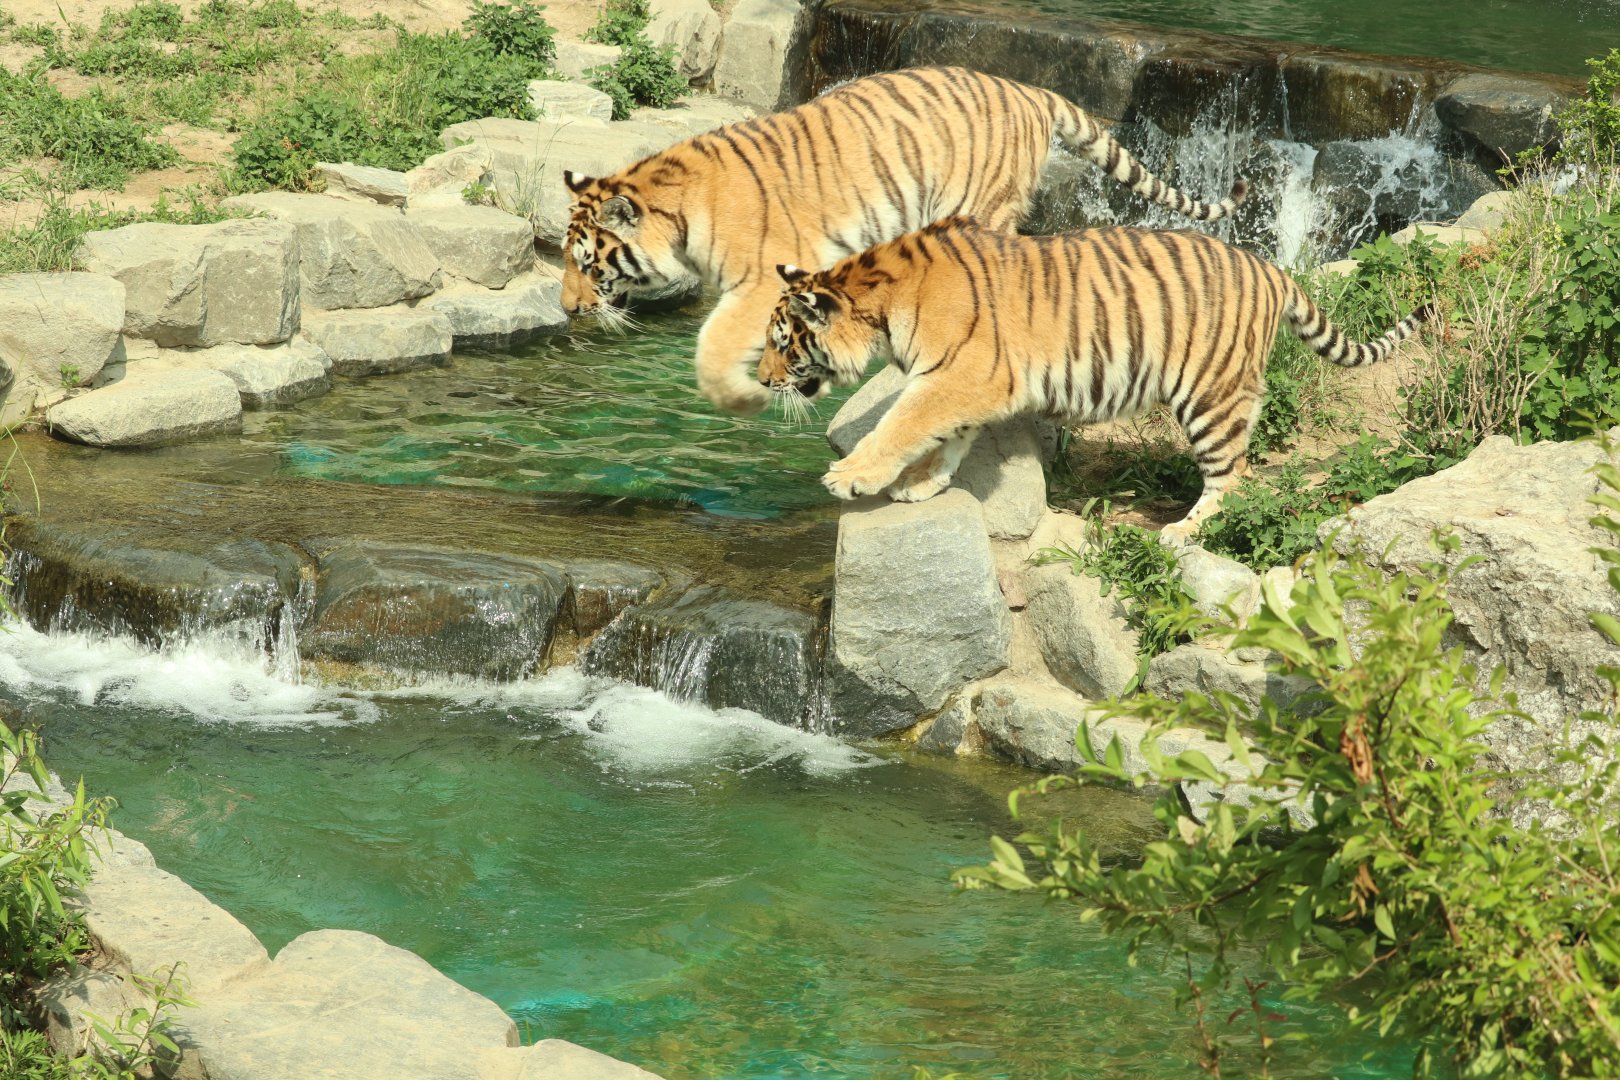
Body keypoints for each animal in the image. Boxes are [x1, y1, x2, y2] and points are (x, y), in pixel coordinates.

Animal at [560, 66, 1247, 416]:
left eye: (588, 265)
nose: (566, 310)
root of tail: (1030, 88)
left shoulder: (758, 279)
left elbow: (714, 344)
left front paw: (740, 398)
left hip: (980, 203)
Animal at [755, 219, 1434, 542]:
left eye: (782, 343)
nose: (761, 381)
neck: (879, 303)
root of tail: (1272, 269)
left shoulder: (961, 373)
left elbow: (901, 424)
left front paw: (850, 476)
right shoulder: (969, 380)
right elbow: (947, 438)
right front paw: (921, 484)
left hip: (1211, 395)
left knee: (1233, 476)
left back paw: (1182, 532)